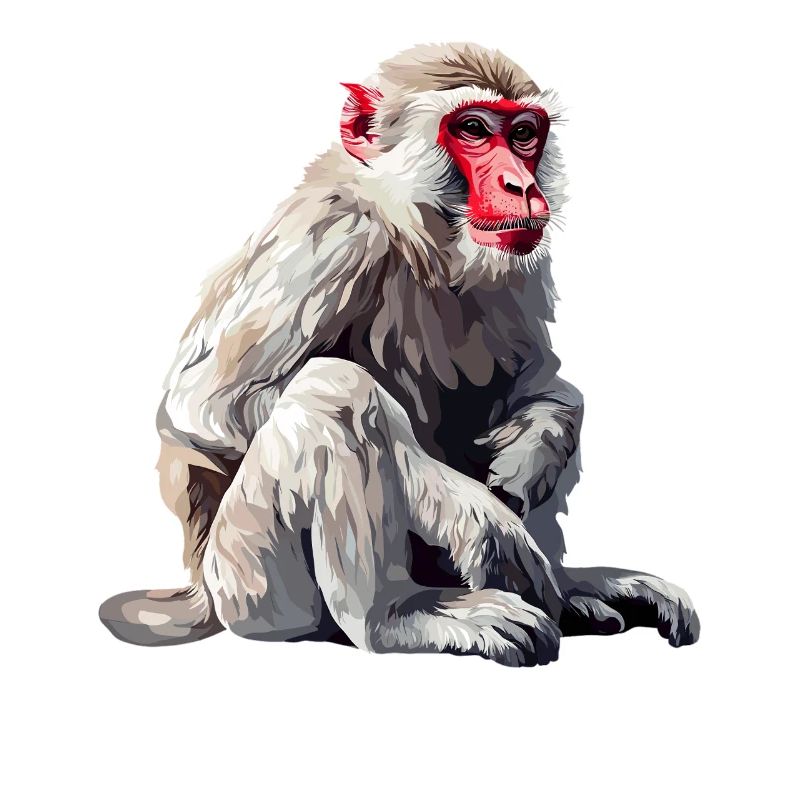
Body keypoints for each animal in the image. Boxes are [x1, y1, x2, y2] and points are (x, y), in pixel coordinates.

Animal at [99, 43, 699, 666]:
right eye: (473, 129)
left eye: (524, 134)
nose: (520, 185)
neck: (416, 231)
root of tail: (201, 592)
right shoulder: (332, 236)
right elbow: (205, 410)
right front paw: (469, 510)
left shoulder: (520, 260)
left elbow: (542, 383)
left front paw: (533, 451)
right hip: (250, 585)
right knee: (333, 393)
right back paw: (398, 617)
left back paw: (571, 591)